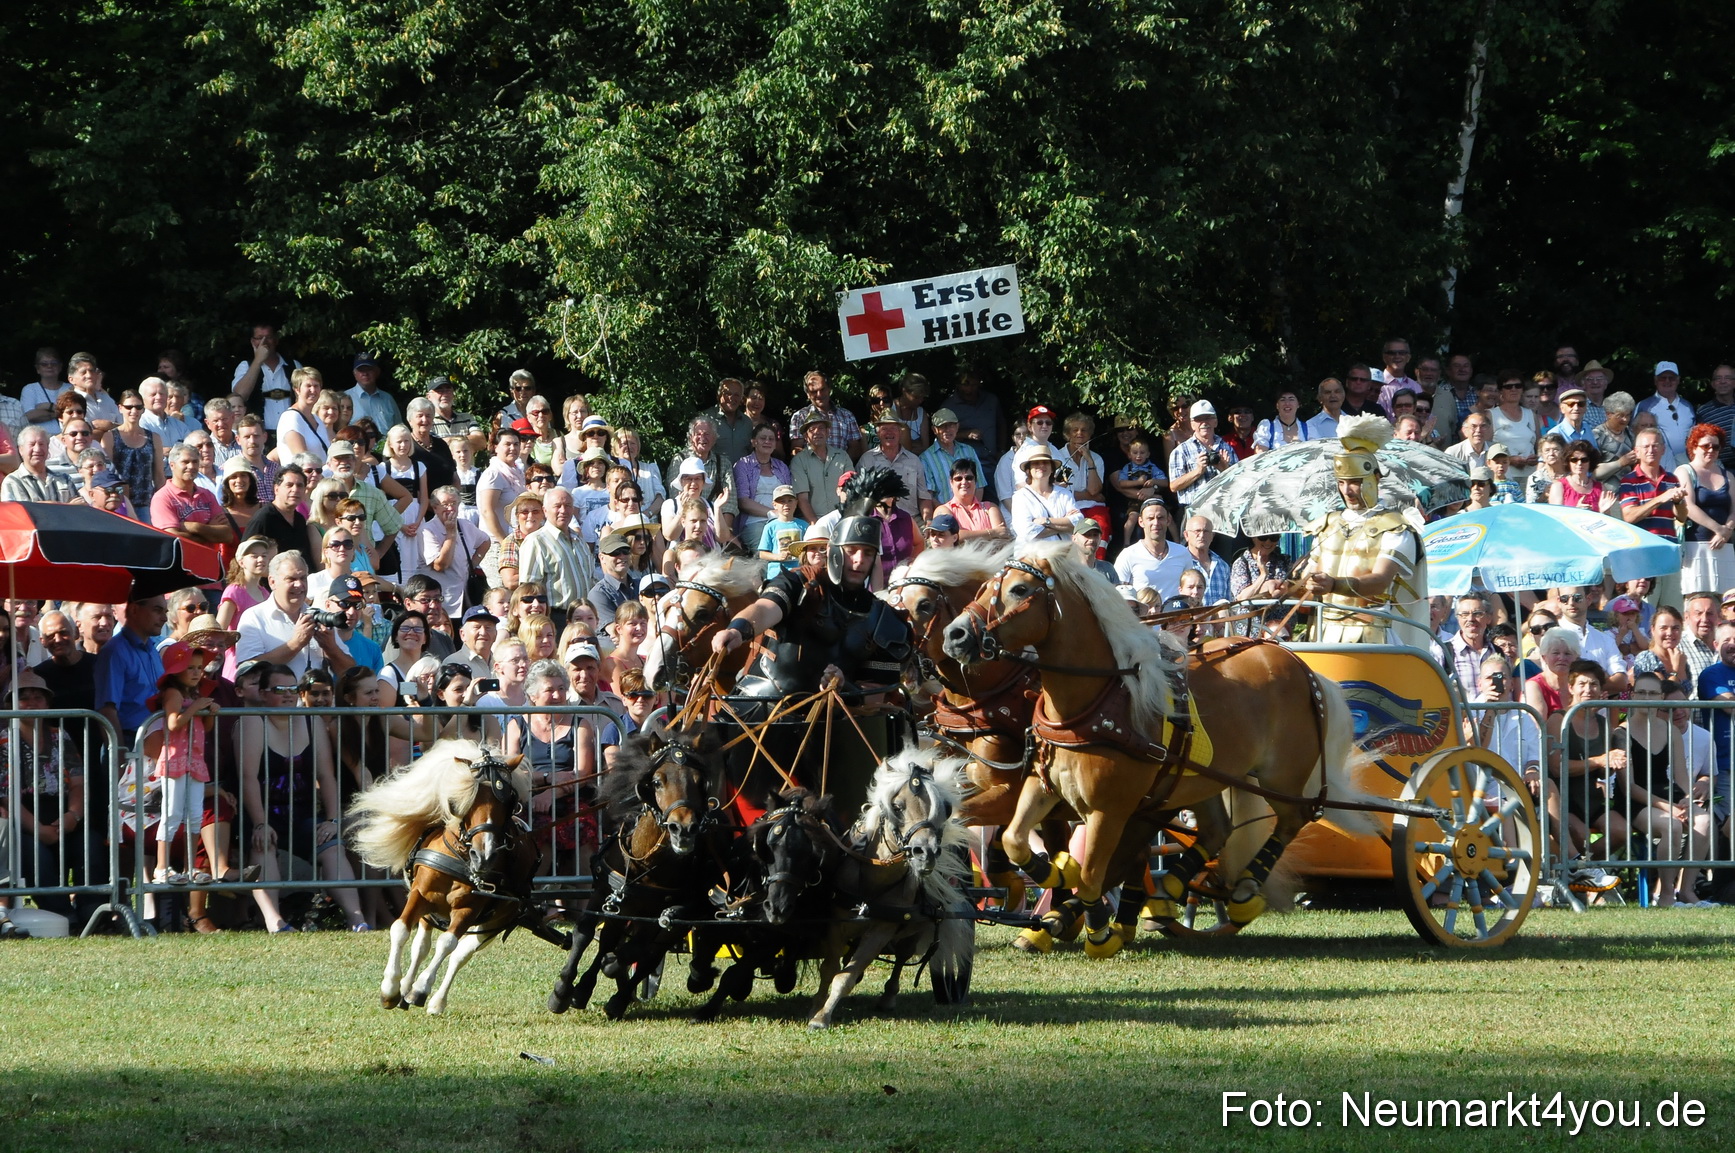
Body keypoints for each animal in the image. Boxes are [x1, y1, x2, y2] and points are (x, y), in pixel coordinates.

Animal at [347, 740, 544, 1014]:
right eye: (464, 801)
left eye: (509, 801)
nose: (484, 855)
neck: (461, 858)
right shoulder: (420, 895)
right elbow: (400, 930)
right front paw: (390, 989)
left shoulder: (468, 909)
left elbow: (448, 945)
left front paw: (420, 989)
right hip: (432, 912)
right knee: (421, 946)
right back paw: (405, 987)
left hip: (497, 920)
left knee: (460, 954)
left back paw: (433, 999)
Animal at [546, 723, 717, 1020]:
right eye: (658, 781)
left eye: (699, 781)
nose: (684, 829)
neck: (646, 864)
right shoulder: (606, 891)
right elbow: (585, 932)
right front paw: (563, 990)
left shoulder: (659, 913)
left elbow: (633, 951)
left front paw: (607, 971)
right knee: (613, 940)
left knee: (648, 954)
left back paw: (618, 996)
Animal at [808, 748, 975, 1029]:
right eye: (897, 807)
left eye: (944, 809)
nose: (925, 853)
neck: (873, 882)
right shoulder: (835, 924)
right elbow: (830, 969)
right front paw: (816, 1009)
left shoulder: (882, 929)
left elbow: (845, 976)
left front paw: (822, 1016)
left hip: (913, 928)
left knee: (902, 957)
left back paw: (888, 997)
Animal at [942, 543, 1379, 958]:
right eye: (982, 589)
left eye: (1018, 590)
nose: (955, 635)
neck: (1096, 702)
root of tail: (1299, 665)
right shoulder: (1041, 787)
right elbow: (1017, 840)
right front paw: (1055, 878)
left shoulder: (1109, 809)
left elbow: (1093, 874)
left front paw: (1098, 931)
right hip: (1199, 780)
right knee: (1217, 829)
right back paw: (1166, 887)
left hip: (1280, 777)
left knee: (1293, 819)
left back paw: (1242, 889)